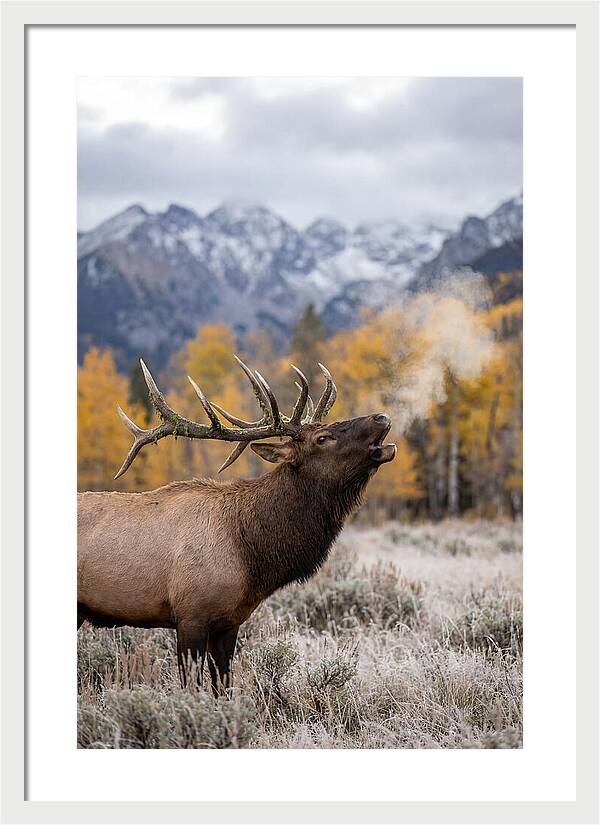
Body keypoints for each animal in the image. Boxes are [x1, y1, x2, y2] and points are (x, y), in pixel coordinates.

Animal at [77, 356, 396, 693]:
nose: (381, 417)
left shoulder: (229, 622)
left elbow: (224, 686)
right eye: (322, 438)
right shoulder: (190, 615)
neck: (250, 556)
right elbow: (191, 688)